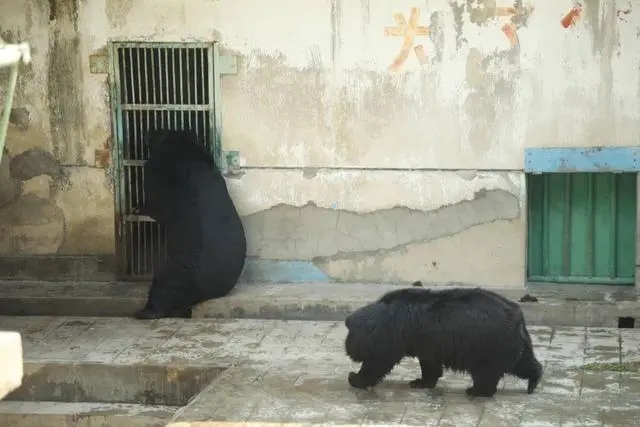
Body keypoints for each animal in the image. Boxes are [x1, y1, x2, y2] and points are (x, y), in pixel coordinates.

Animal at [134, 129, 246, 320]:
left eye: (158, 133)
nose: (147, 132)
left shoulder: (175, 186)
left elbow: (159, 201)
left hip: (181, 269)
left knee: (162, 285)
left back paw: (145, 311)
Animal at [342, 282, 544, 400]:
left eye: (350, 341)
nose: (351, 355)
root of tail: (518, 315)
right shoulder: (426, 341)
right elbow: (430, 363)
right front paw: (421, 382)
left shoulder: (393, 335)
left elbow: (378, 361)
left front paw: (355, 377)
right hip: (510, 341)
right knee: (523, 362)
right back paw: (533, 382)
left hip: (488, 342)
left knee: (486, 371)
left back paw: (477, 390)